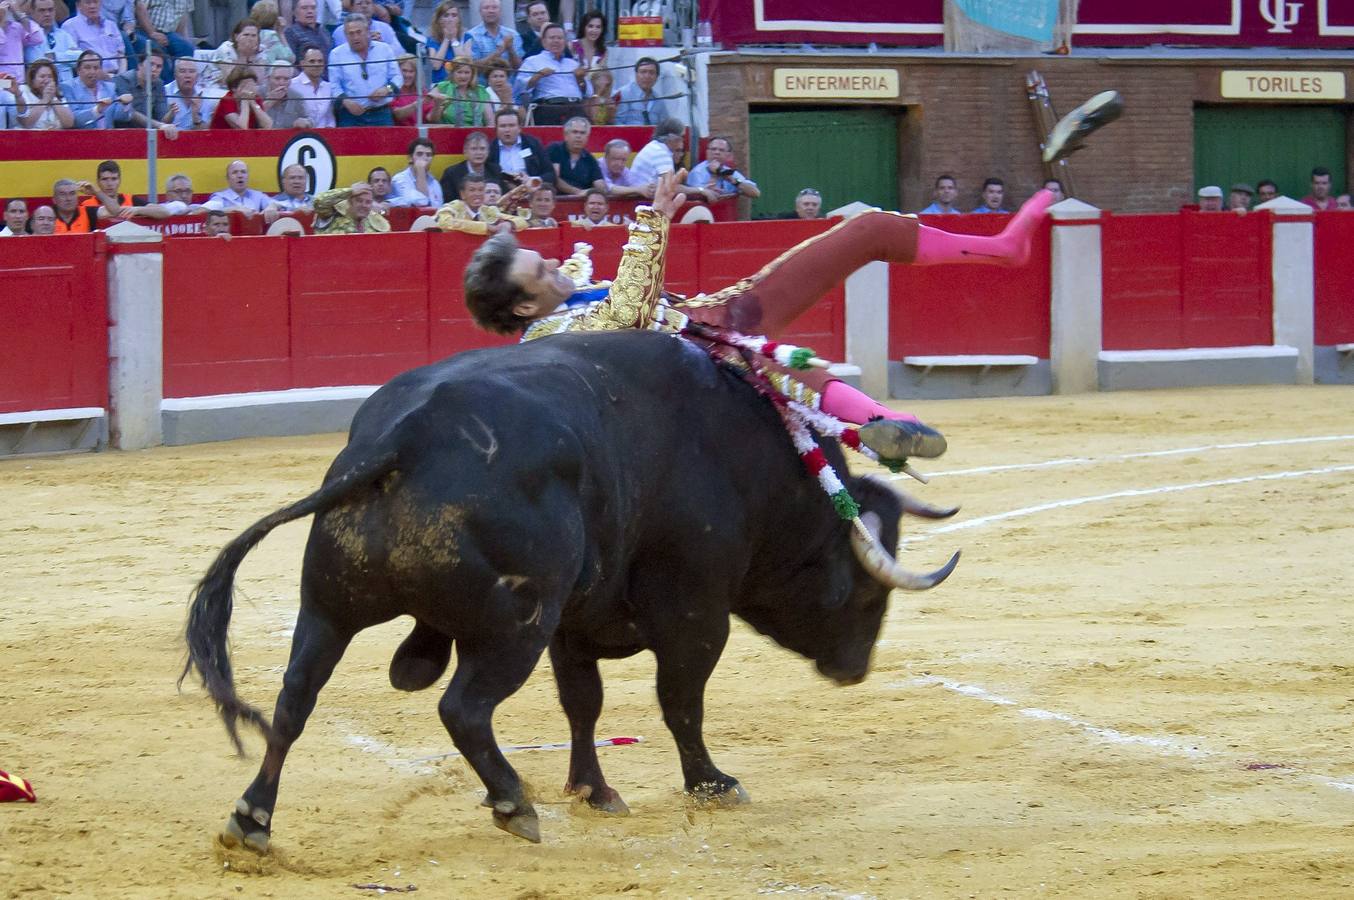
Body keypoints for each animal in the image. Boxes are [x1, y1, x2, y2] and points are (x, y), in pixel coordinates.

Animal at [182, 330, 964, 849]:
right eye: (868, 596)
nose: (854, 669)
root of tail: (401, 441)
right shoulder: (694, 612)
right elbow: (680, 703)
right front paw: (712, 783)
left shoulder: (575, 625)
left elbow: (583, 704)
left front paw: (595, 789)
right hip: (516, 626)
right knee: (463, 709)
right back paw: (512, 804)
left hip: (329, 607)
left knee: (292, 701)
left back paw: (251, 819)